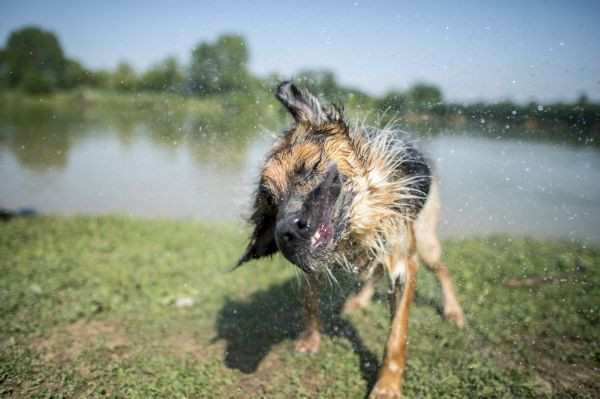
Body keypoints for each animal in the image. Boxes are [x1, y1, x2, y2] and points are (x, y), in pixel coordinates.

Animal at [237, 82, 466, 399]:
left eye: (309, 168)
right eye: (271, 199)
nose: (286, 235)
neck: (357, 227)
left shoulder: (404, 261)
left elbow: (396, 335)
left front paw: (387, 385)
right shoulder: (319, 262)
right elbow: (310, 300)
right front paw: (310, 339)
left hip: (426, 241)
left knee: (442, 271)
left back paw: (454, 311)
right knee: (375, 272)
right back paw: (359, 300)